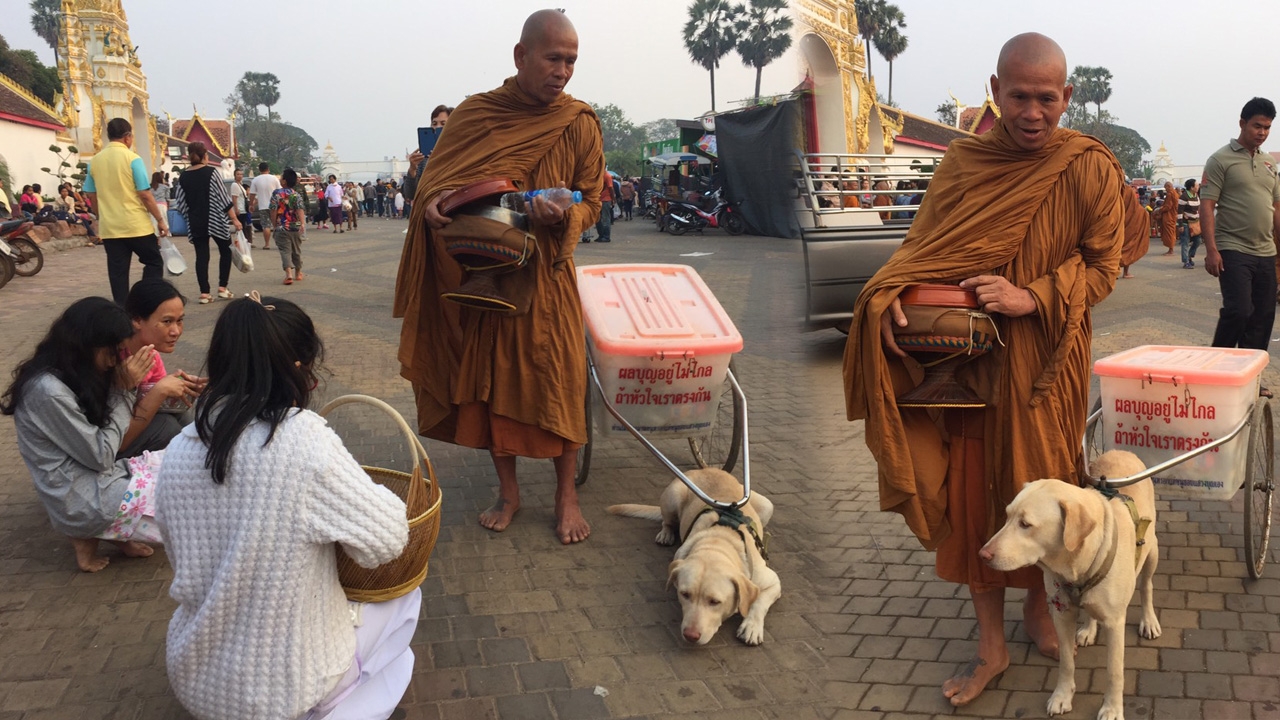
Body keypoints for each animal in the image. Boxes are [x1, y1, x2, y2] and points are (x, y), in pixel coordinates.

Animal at [606, 466, 778, 645]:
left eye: (715, 602)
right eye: (685, 595)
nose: (690, 635)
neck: (718, 541)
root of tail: (707, 468)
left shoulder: (773, 582)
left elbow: (759, 602)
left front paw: (752, 627)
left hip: (767, 505)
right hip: (673, 494)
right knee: (667, 521)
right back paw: (666, 534)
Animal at [977, 448, 1162, 717]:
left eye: (1025, 524)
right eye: (1007, 516)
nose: (982, 555)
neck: (1077, 568)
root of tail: (1121, 450)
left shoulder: (1115, 622)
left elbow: (1114, 672)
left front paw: (1112, 709)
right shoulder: (1061, 614)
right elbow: (1066, 662)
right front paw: (1062, 696)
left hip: (1152, 550)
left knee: (1146, 586)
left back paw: (1149, 621)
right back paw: (1088, 628)